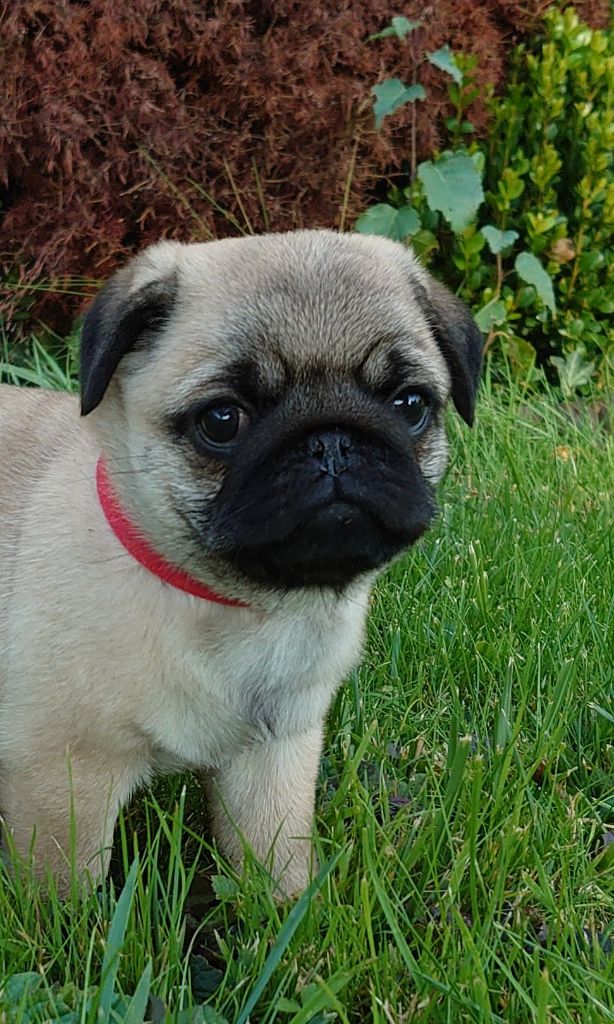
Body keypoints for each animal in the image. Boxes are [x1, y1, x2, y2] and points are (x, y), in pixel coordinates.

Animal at [0, 230, 481, 894]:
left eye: (410, 405)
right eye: (222, 420)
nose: (332, 441)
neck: (246, 606)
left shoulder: (274, 758)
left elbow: (272, 859)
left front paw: (289, 912)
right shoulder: (62, 783)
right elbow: (61, 897)